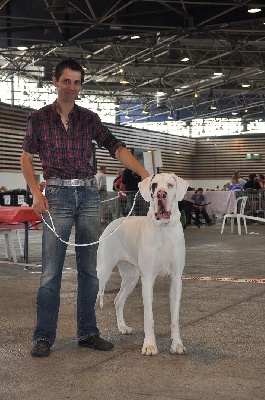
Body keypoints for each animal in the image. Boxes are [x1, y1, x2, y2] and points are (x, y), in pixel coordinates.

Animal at [97, 173, 188, 354]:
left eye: (170, 185)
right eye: (154, 185)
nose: (161, 194)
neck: (164, 229)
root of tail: (114, 222)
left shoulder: (176, 279)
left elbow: (175, 317)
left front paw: (177, 344)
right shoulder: (147, 279)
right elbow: (148, 316)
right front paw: (150, 345)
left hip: (131, 277)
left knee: (118, 300)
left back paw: (123, 327)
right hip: (103, 272)